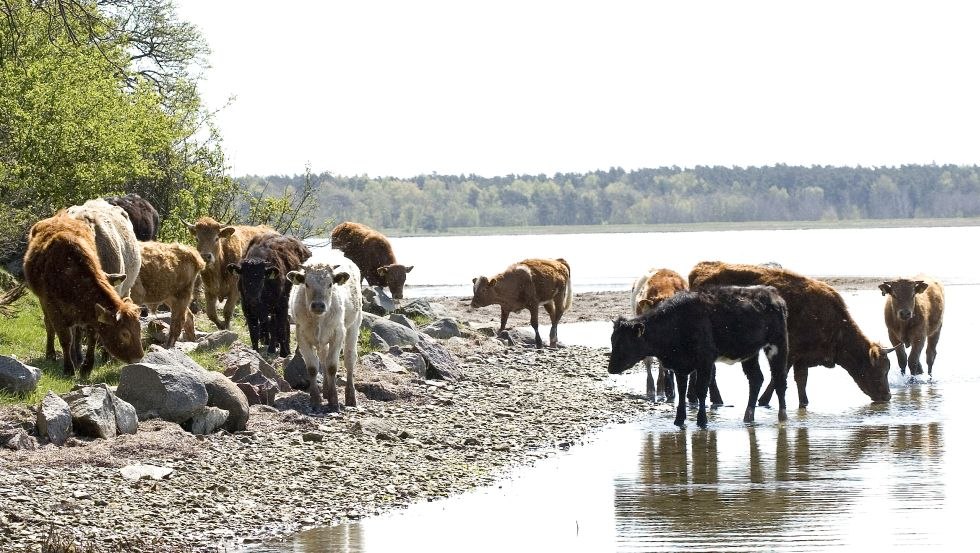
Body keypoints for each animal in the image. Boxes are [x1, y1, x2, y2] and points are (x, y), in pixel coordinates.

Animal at [23, 212, 144, 380]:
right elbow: (65, 338)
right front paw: (69, 369)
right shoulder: (53, 308)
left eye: (139, 329)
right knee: (49, 325)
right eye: (124, 333)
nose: (138, 358)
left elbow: (92, 337)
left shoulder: (90, 313)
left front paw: (86, 367)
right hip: (43, 302)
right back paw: (52, 354)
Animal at [288, 252, 364, 412]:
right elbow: (312, 367)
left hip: (354, 324)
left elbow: (331, 367)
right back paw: (326, 391)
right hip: (322, 340)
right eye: (307, 284)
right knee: (323, 357)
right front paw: (316, 400)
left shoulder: (338, 333)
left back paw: (350, 397)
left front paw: (334, 402)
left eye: (330, 284)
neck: (318, 319)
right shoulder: (301, 335)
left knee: (349, 359)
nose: (318, 305)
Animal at [608, 284, 792, 426]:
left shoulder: (705, 361)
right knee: (756, 379)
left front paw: (702, 420)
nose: (610, 369)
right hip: (750, 353)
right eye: (612, 340)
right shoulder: (680, 365)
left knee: (779, 379)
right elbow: (682, 391)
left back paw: (782, 417)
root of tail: (772, 293)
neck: (677, 323)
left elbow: (701, 389)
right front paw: (679, 420)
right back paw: (748, 416)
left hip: (777, 344)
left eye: (624, 343)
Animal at [688, 260, 896, 408]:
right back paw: (716, 400)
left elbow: (801, 382)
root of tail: (701, 267)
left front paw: (803, 403)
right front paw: (763, 401)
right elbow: (778, 378)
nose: (887, 396)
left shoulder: (803, 359)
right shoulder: (790, 353)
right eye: (880, 369)